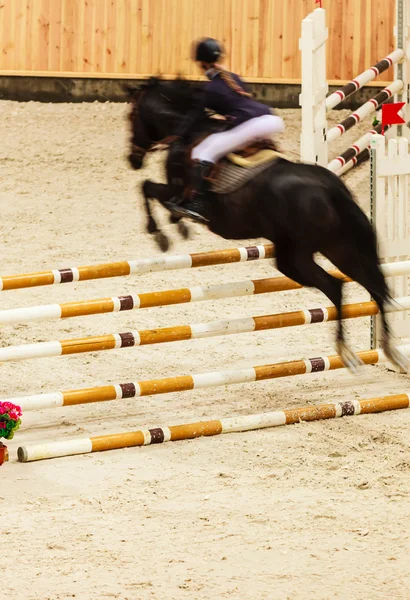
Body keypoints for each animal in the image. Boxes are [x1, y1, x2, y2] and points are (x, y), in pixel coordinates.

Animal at [126, 77, 408, 372]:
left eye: (131, 117)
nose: (132, 159)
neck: (186, 129)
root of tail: (330, 187)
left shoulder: (174, 189)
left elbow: (148, 188)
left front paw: (161, 233)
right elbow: (155, 195)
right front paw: (176, 226)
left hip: (295, 256)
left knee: (336, 286)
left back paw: (347, 351)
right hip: (338, 247)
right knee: (372, 286)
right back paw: (389, 352)